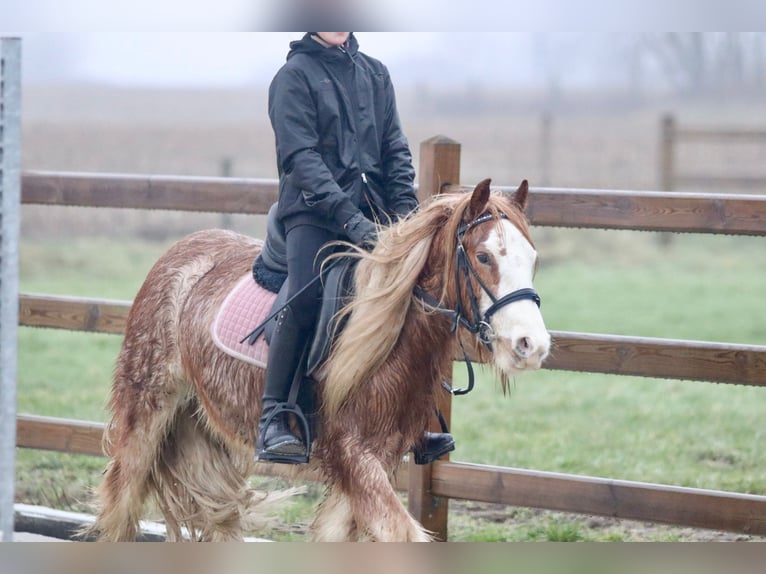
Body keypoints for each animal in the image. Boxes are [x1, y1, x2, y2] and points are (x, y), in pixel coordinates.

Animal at [85, 180, 552, 544]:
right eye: (484, 257)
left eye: (532, 259)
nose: (532, 345)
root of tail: (182, 251)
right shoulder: (353, 456)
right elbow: (402, 534)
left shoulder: (376, 460)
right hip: (145, 413)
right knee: (120, 505)